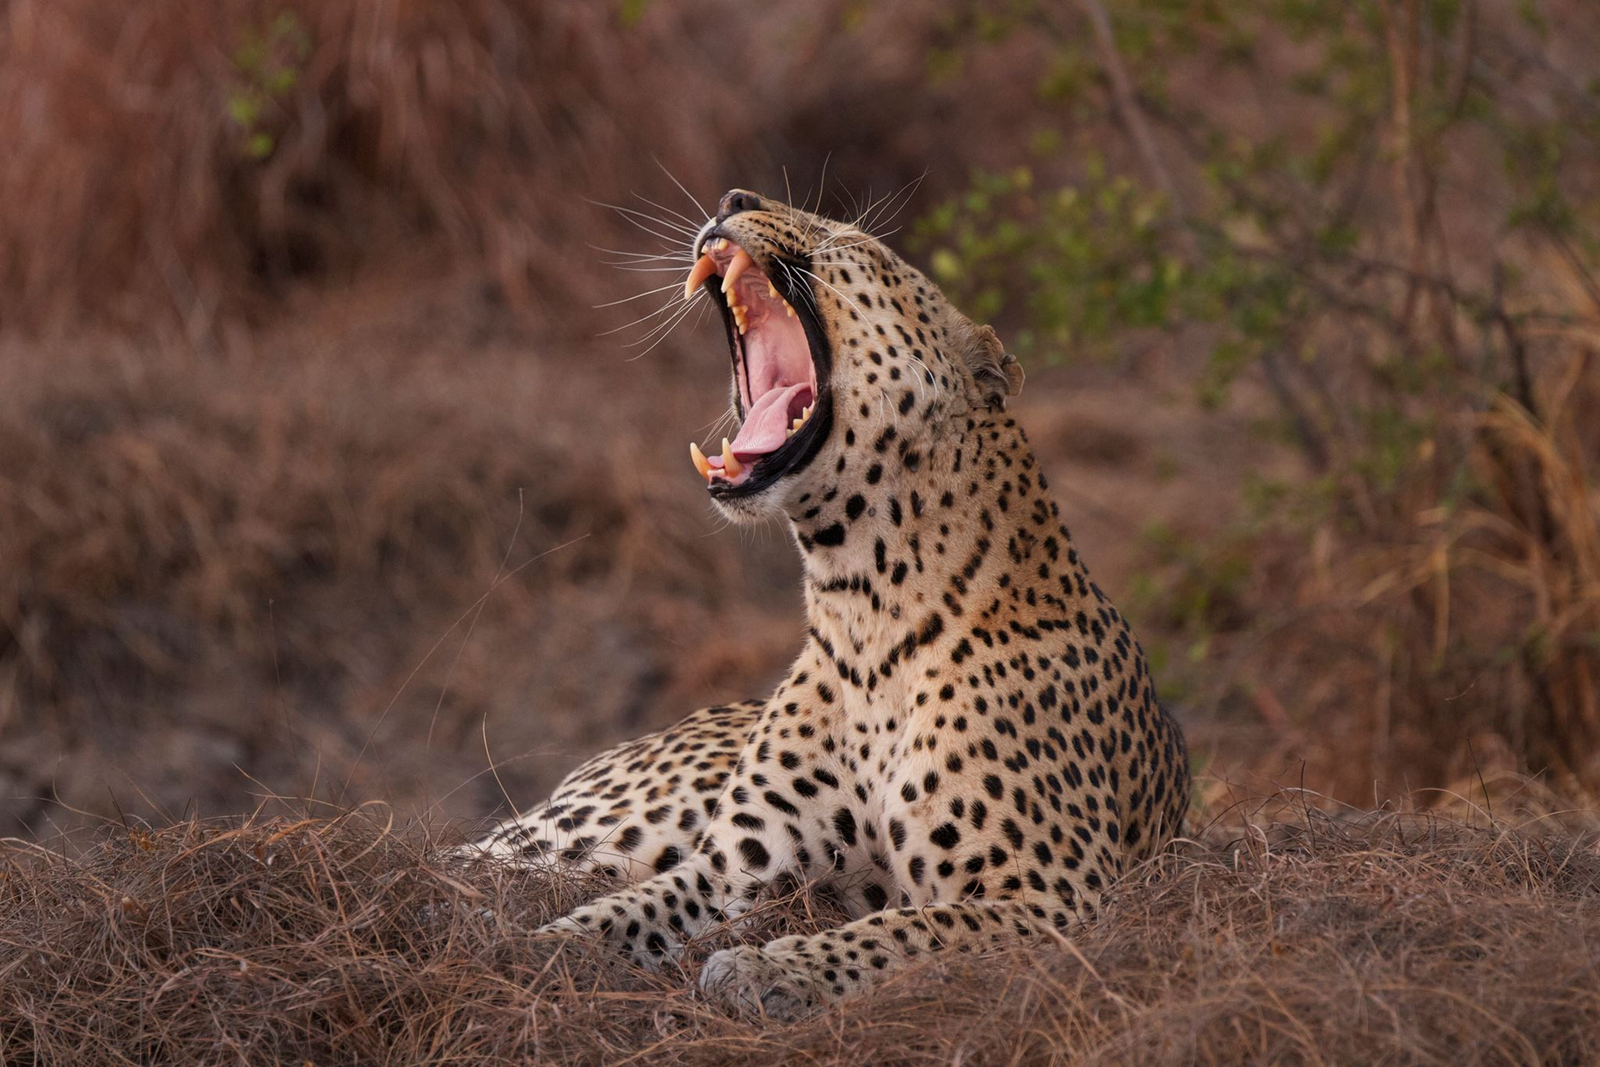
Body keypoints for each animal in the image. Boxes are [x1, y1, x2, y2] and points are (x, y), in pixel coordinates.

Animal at [468, 188, 1190, 1020]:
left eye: (854, 240)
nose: (734, 197)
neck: (862, 608)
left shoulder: (1050, 896)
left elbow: (899, 932)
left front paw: (769, 966)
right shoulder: (733, 865)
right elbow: (618, 915)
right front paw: (526, 951)